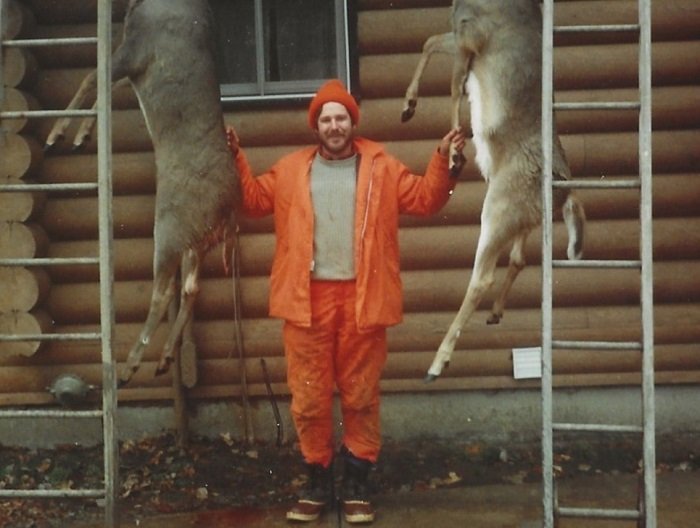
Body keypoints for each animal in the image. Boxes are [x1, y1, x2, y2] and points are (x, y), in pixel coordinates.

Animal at [45, 0, 240, 386]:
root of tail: (227, 206)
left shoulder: (136, 47)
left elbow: (93, 77)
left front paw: (56, 134)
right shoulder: (133, 61)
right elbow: (109, 88)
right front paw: (81, 136)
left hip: (170, 226)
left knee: (164, 292)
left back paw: (129, 368)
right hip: (198, 239)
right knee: (191, 288)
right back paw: (163, 359)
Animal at [401, 0, 586, 381]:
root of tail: (564, 190)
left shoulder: (470, 34)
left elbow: (454, 85)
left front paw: (454, 152)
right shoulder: (458, 31)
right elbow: (429, 42)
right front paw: (408, 106)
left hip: (499, 208)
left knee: (481, 278)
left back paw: (437, 363)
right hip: (523, 215)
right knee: (518, 259)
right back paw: (496, 313)